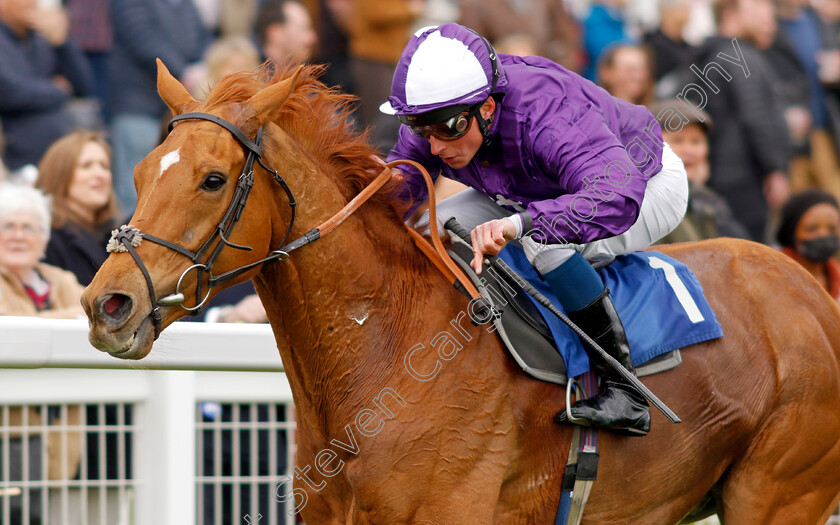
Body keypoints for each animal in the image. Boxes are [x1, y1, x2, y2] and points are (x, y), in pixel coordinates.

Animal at [82, 62, 840, 524]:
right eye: (142, 171)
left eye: (212, 179)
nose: (106, 304)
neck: (386, 352)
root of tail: (810, 291)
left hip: (777, 492)